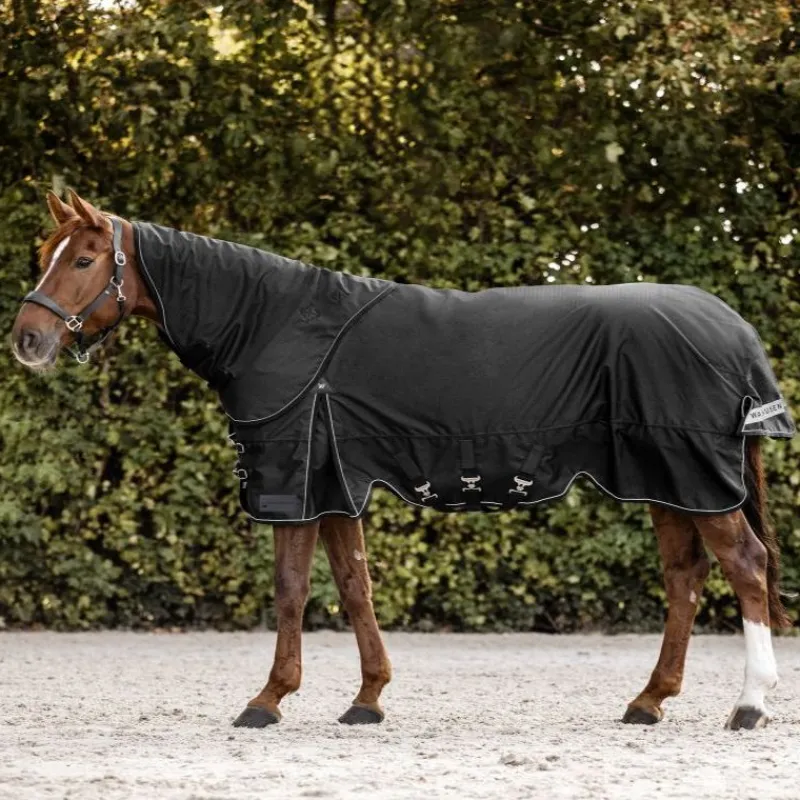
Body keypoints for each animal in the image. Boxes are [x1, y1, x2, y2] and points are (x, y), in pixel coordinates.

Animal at [11, 189, 794, 731]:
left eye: (84, 259)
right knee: (685, 577)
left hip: (692, 477)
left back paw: (750, 706)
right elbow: (355, 587)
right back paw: (649, 700)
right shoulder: (335, 487)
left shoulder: (295, 484)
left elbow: (291, 590)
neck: (273, 324)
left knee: (745, 567)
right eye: (46, 253)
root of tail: (733, 330)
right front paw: (367, 699)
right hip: (670, 483)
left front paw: (267, 699)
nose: (27, 340)